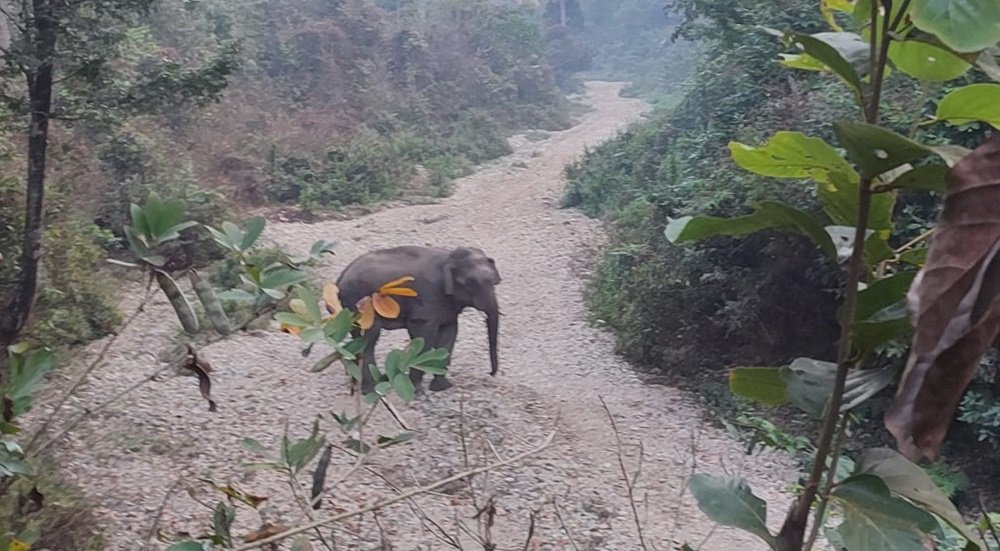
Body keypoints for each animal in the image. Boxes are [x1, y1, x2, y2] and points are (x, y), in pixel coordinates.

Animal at [340, 245, 504, 392]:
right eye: (469, 283)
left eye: (493, 282)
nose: (490, 373)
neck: (448, 256)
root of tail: (341, 278)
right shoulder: (427, 297)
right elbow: (423, 336)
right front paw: (416, 391)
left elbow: (449, 335)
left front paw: (442, 388)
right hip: (360, 303)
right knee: (369, 340)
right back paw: (371, 389)